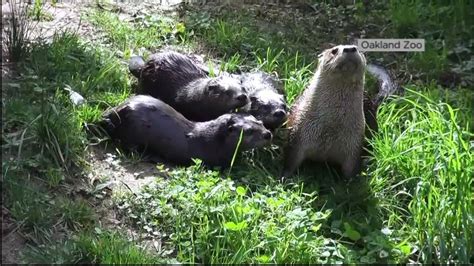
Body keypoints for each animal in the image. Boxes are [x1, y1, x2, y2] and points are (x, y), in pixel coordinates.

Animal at [102, 95, 272, 166]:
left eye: (260, 122)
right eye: (249, 131)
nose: (268, 134)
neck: (211, 142)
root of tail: (117, 111)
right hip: (132, 132)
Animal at [282, 44, 366, 180]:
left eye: (358, 48)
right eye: (334, 51)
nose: (350, 48)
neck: (331, 126)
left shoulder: (354, 144)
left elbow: (351, 171)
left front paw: (351, 184)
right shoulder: (298, 134)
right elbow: (291, 160)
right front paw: (284, 177)